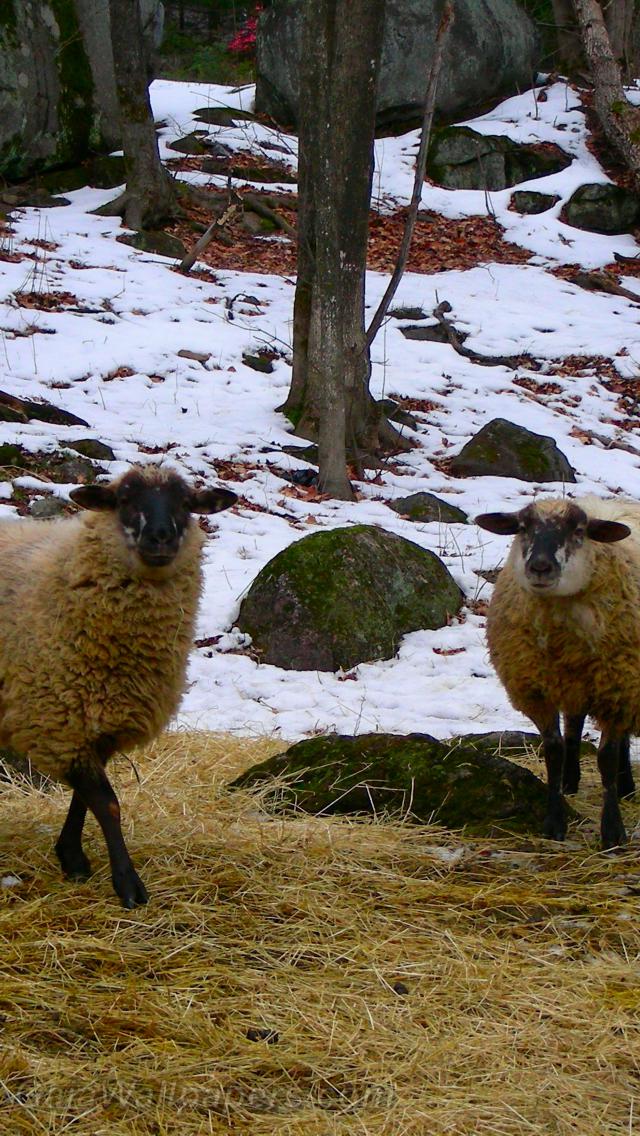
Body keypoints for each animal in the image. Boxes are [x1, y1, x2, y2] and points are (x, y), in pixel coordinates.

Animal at [0, 461, 237, 904]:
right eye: (124, 499)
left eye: (185, 503)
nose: (160, 535)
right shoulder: (58, 721)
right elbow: (107, 803)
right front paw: (127, 883)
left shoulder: (100, 723)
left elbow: (84, 799)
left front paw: (72, 857)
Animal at [475, 493, 640, 849]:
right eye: (523, 527)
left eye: (579, 530)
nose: (539, 567)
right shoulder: (538, 689)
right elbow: (553, 750)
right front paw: (554, 823)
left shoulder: (620, 687)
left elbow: (607, 757)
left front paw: (613, 831)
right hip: (578, 684)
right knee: (575, 724)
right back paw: (571, 781)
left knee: (618, 740)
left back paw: (625, 788)